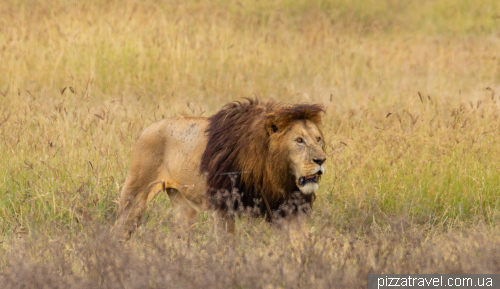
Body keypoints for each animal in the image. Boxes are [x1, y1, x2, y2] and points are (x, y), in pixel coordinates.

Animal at [117, 98, 328, 237]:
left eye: (318, 139)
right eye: (299, 140)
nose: (321, 160)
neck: (275, 172)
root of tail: (148, 128)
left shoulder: (290, 206)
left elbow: (299, 244)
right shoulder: (224, 203)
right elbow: (227, 246)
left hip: (184, 205)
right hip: (135, 197)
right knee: (121, 230)